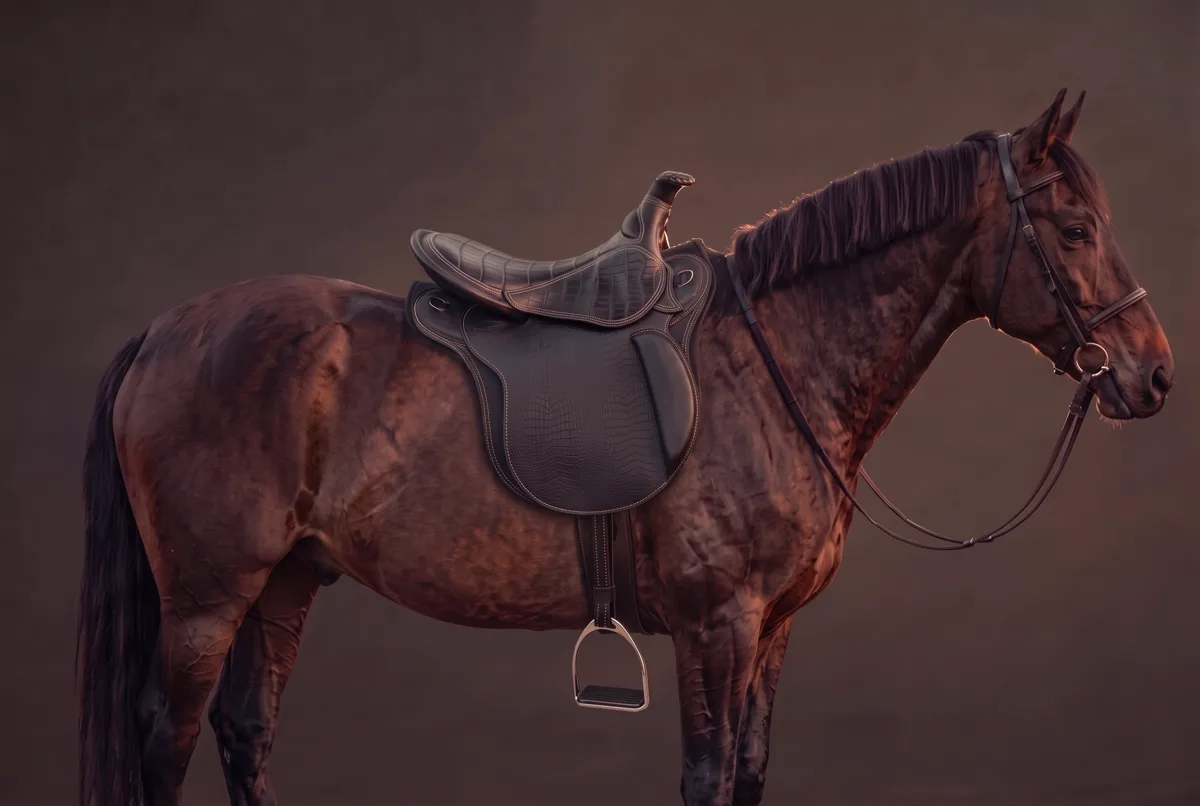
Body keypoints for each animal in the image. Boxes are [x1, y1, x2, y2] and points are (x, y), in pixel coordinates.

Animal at [78, 89, 1174, 806]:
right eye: (1075, 230)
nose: (1154, 373)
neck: (772, 360)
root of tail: (164, 330)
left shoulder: (773, 630)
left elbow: (747, 774)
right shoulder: (716, 624)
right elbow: (707, 775)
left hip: (287, 580)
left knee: (245, 732)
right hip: (207, 596)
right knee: (168, 738)